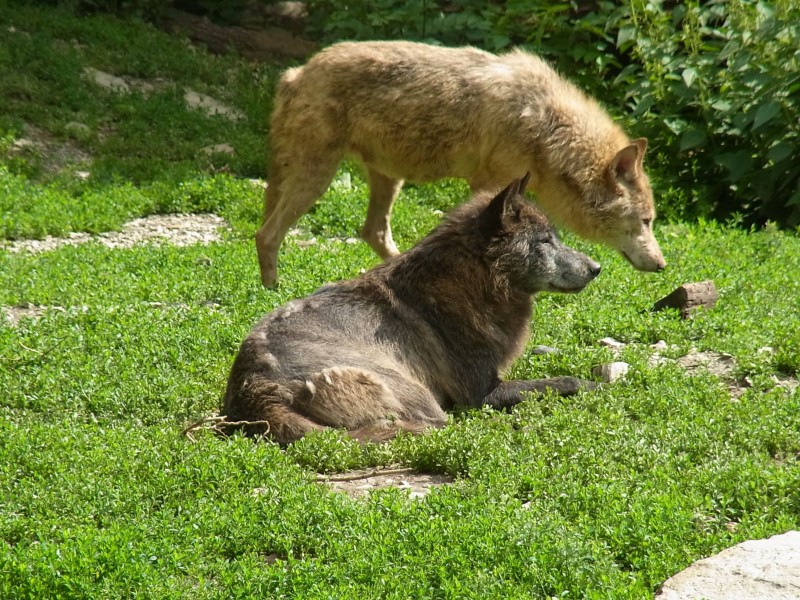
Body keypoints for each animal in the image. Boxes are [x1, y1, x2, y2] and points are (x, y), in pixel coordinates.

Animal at [225, 176, 600, 442]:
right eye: (545, 241)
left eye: (555, 237)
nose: (597, 268)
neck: (475, 279)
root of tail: (254, 387)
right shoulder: (480, 394)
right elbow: (564, 380)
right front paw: (594, 385)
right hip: (417, 393)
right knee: (439, 425)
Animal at [255, 39, 664, 288]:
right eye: (646, 222)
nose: (662, 265)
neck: (546, 129)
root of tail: (295, 73)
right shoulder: (489, 186)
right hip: (318, 178)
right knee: (267, 234)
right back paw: (273, 292)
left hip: (385, 178)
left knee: (372, 232)